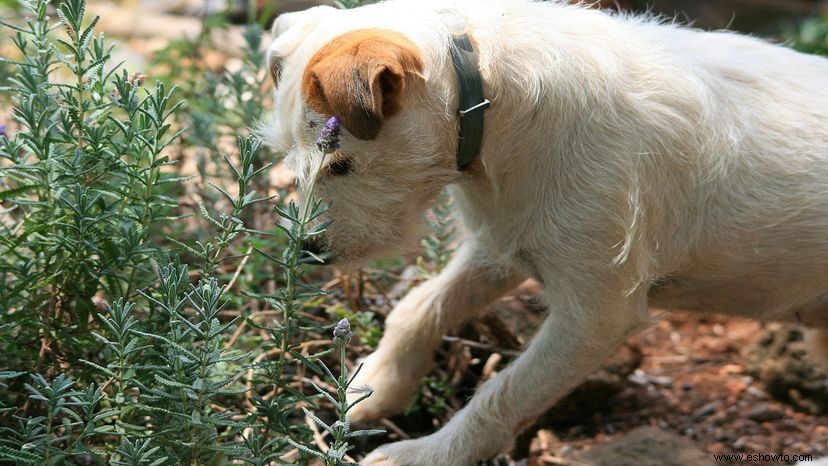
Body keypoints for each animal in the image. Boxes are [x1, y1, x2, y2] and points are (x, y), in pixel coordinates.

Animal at [264, 1, 828, 464]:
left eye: (339, 163)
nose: (307, 252)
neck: (488, 100)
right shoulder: (501, 246)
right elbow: (418, 308)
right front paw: (375, 388)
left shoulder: (594, 318)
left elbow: (502, 393)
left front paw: (425, 455)